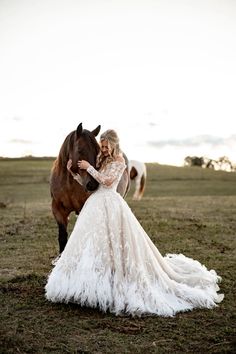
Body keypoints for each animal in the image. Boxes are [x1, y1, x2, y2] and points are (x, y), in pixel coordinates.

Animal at [50, 122, 130, 254]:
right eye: (80, 150)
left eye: (98, 151)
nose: (93, 184)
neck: (68, 184)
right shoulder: (58, 209)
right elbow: (62, 237)